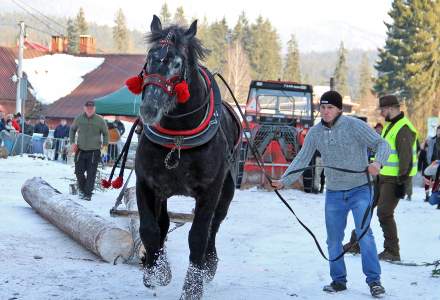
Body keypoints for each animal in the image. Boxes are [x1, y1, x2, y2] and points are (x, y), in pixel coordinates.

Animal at [133, 15, 241, 298]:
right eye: (150, 57)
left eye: (177, 63)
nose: (149, 109)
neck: (178, 138)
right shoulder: (147, 182)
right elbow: (150, 227)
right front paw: (156, 270)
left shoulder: (210, 190)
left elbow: (199, 235)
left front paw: (193, 286)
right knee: (163, 223)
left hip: (226, 191)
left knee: (214, 225)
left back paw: (209, 265)